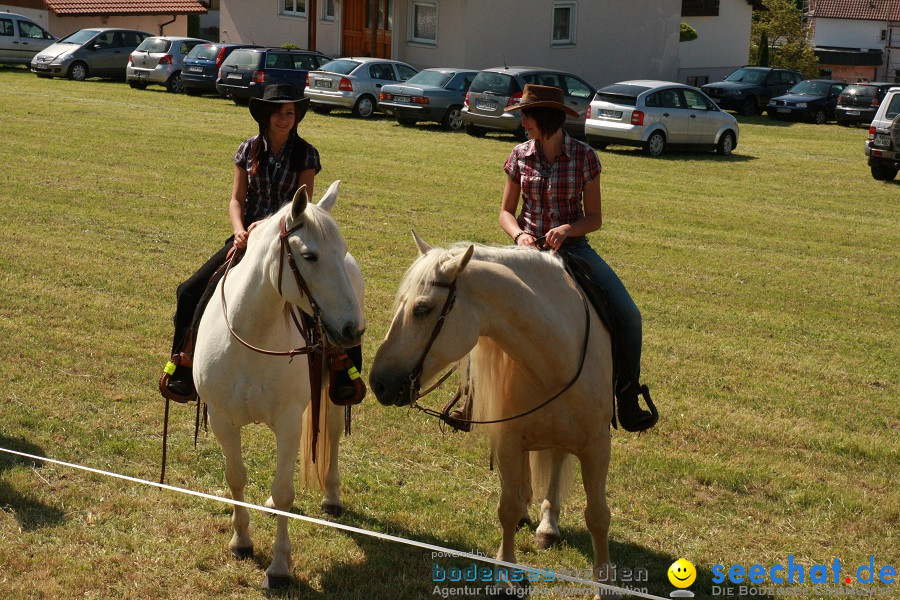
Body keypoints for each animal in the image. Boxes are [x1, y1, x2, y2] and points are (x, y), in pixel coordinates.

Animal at [194, 180, 366, 588]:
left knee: (332, 433)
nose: (353, 329)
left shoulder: (288, 421)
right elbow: (236, 478)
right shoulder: (223, 420)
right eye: (309, 256)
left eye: (341, 251)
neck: (251, 334)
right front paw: (241, 542)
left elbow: (285, 490)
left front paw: (279, 567)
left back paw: (332, 497)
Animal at [368, 237, 620, 596]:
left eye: (422, 309)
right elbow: (507, 508)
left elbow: (598, 516)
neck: (556, 353)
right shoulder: (509, 440)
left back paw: (548, 525)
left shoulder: (597, 445)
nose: (377, 382)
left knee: (557, 459)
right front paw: (506, 574)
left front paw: (606, 584)